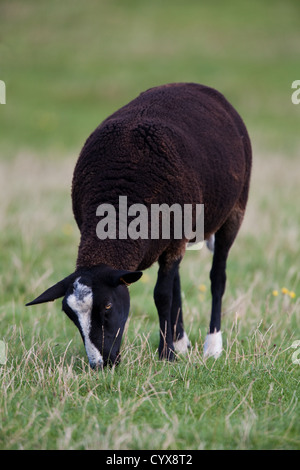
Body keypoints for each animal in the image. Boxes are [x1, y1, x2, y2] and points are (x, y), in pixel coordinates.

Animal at [26, 82, 251, 368]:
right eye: (69, 315)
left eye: (108, 306)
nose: (101, 365)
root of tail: (190, 84)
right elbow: (170, 290)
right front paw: (173, 348)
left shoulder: (175, 240)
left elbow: (162, 295)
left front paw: (166, 355)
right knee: (177, 281)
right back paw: (182, 341)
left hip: (235, 210)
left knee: (217, 278)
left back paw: (212, 346)